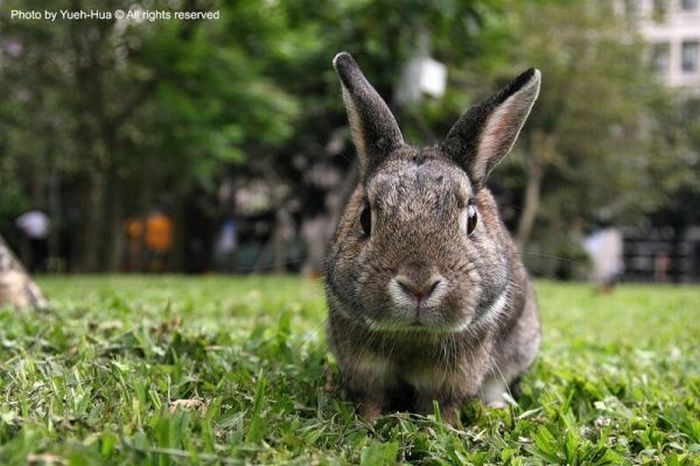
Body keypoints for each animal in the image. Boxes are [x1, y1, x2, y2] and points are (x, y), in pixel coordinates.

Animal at [326, 52, 544, 424]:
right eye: (366, 218)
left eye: (471, 220)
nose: (418, 285)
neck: (413, 337)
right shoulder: (364, 367)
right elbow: (371, 398)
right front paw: (366, 424)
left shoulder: (457, 373)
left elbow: (444, 404)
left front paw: (444, 429)